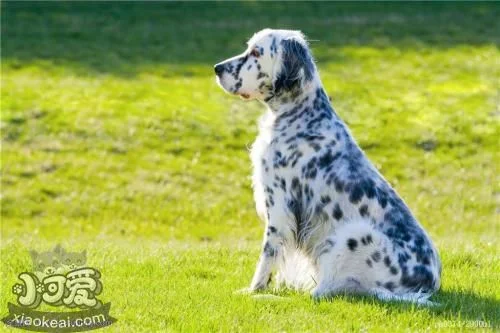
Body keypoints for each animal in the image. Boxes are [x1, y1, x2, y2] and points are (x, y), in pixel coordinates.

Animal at [213, 28, 440, 304]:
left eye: (256, 52)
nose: (217, 68)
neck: (301, 116)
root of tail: (427, 284)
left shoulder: (279, 206)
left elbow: (268, 255)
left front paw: (254, 289)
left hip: (353, 234)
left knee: (320, 293)